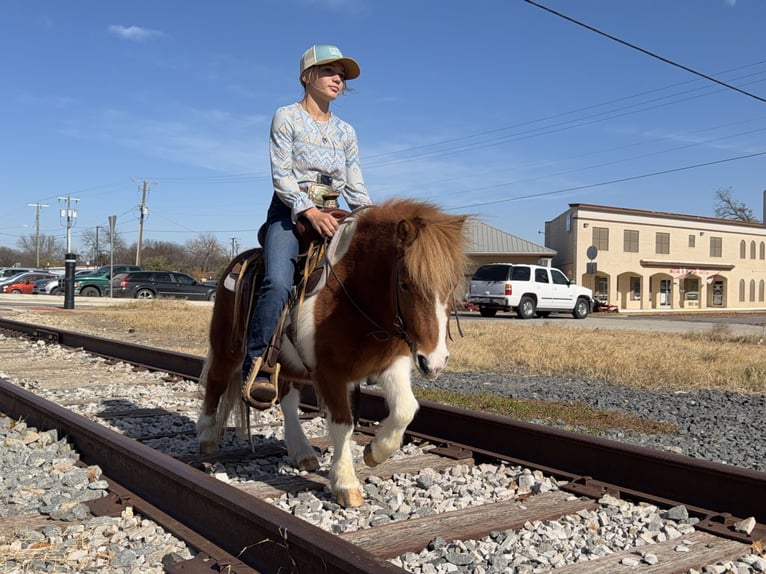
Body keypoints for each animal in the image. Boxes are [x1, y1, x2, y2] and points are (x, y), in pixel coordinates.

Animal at [196, 198, 469, 507]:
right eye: (405, 284)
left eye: (452, 285)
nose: (434, 362)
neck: (353, 294)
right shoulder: (330, 373)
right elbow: (342, 424)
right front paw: (346, 483)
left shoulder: (392, 364)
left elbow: (405, 409)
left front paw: (374, 453)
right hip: (226, 348)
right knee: (215, 383)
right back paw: (207, 437)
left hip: (285, 363)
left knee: (288, 401)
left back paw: (302, 453)